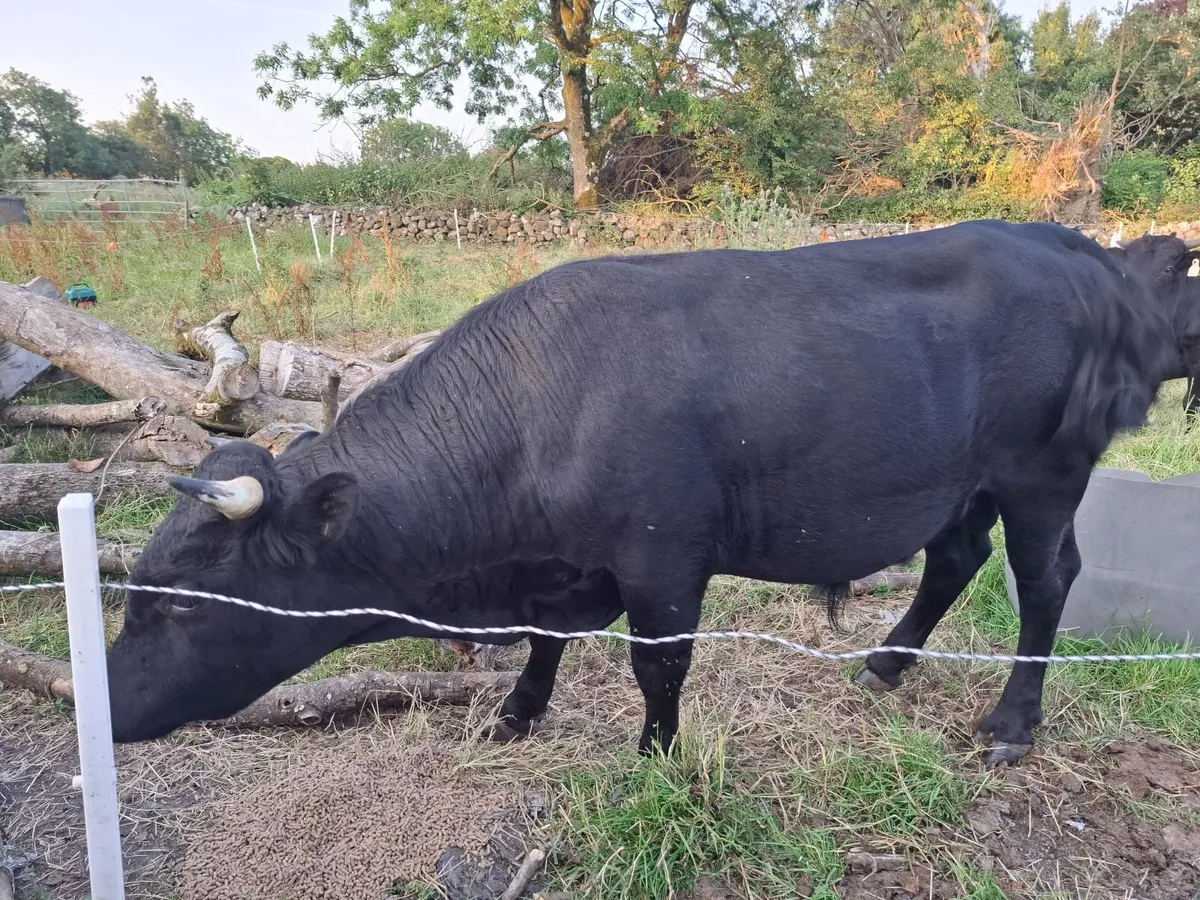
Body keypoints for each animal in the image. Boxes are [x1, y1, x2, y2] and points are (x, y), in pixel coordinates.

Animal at [104, 220, 1196, 767]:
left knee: (1045, 579)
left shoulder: (663, 554)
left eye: (178, 605)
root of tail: (1072, 248)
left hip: (1041, 474)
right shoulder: (558, 566)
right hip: (961, 480)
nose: (101, 708)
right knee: (955, 558)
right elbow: (545, 640)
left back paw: (1012, 723)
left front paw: (656, 754)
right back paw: (885, 664)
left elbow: (657, 666)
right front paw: (517, 711)